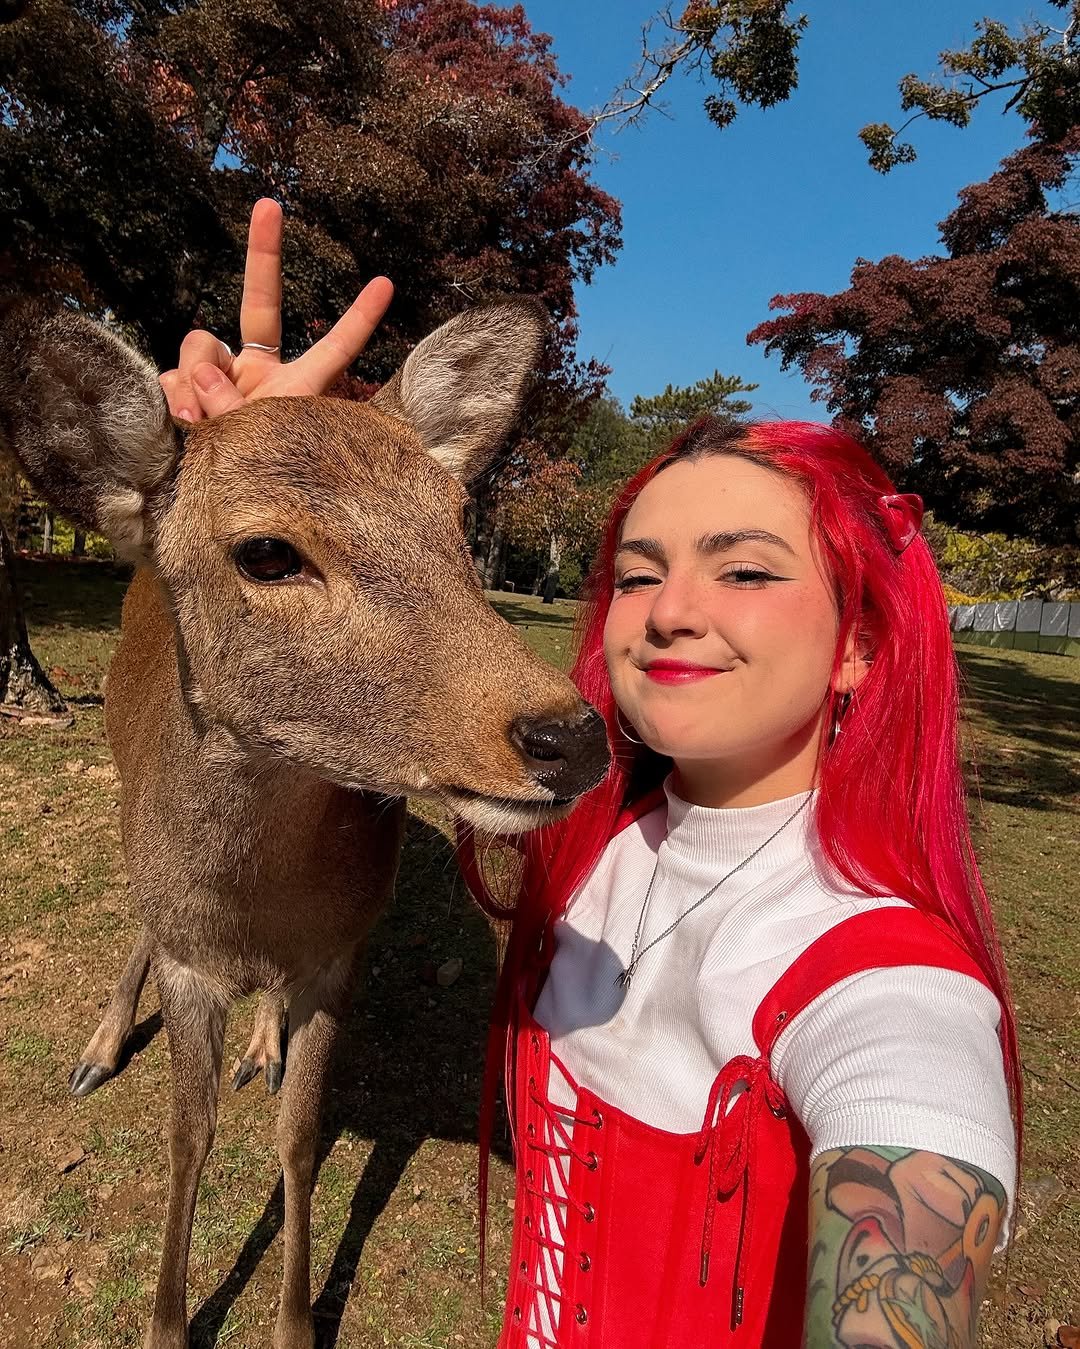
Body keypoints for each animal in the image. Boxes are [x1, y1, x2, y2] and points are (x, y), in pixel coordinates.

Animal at [0, 296, 610, 1349]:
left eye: (457, 525)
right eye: (267, 552)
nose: (568, 736)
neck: (254, 909)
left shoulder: (340, 950)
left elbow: (299, 1135)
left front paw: (292, 1321)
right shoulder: (190, 960)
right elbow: (188, 1135)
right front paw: (169, 1323)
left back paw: (261, 1047)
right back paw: (100, 1048)